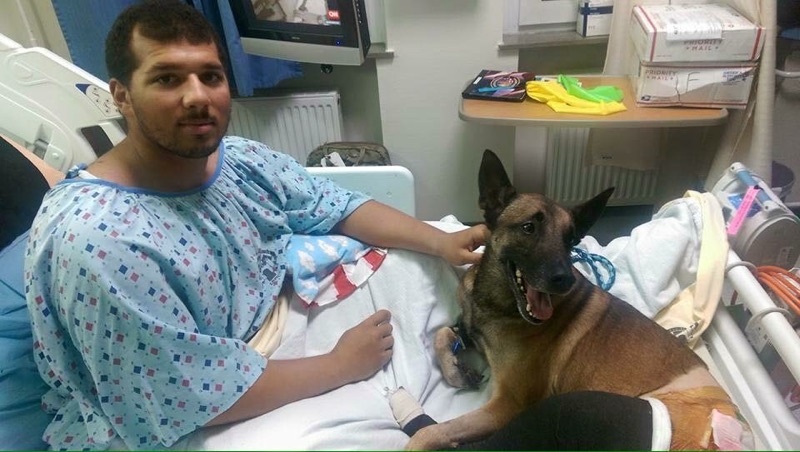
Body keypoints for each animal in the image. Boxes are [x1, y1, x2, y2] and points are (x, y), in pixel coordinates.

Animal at [410, 150, 748, 450]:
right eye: (529, 228)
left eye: (571, 240)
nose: (565, 280)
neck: (496, 301)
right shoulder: (469, 328)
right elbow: (442, 333)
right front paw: (456, 370)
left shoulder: (508, 403)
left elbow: (429, 434)